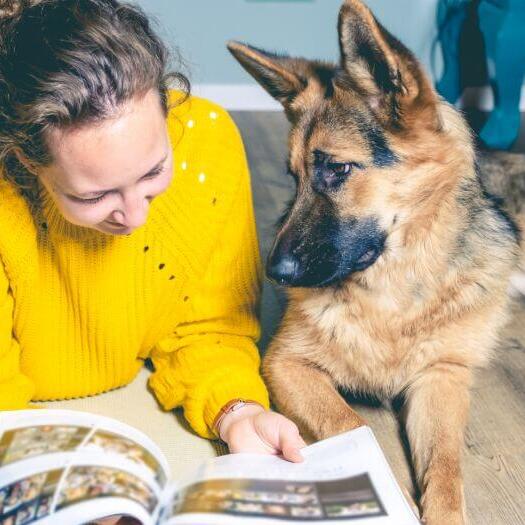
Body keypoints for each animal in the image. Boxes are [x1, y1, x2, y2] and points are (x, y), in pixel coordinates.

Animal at [228, 1, 520, 524]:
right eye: (294, 177)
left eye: (337, 169)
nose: (274, 274)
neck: (393, 293)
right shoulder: (286, 364)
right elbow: (349, 424)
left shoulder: (442, 376)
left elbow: (446, 467)